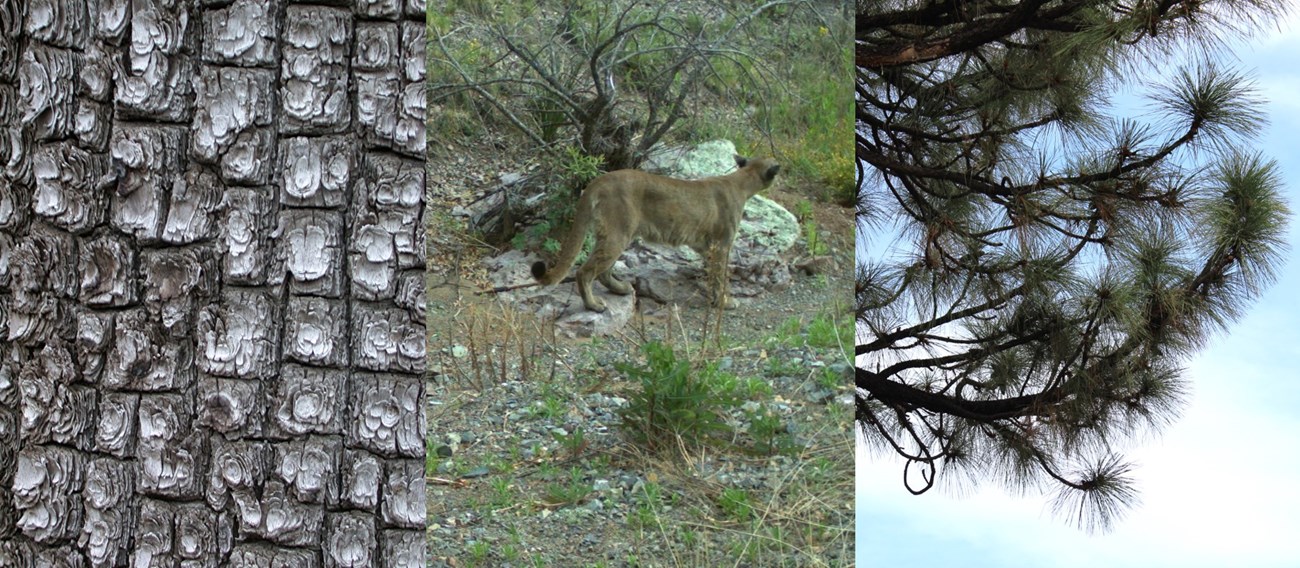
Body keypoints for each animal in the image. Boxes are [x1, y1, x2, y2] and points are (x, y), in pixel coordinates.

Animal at [530, 155, 774, 309]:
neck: (742, 180)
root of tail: (599, 179)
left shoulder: (707, 246)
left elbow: (713, 273)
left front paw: (716, 299)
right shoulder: (722, 244)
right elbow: (721, 275)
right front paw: (726, 302)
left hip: (617, 234)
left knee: (603, 271)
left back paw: (621, 289)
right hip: (618, 233)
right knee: (585, 271)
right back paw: (593, 305)